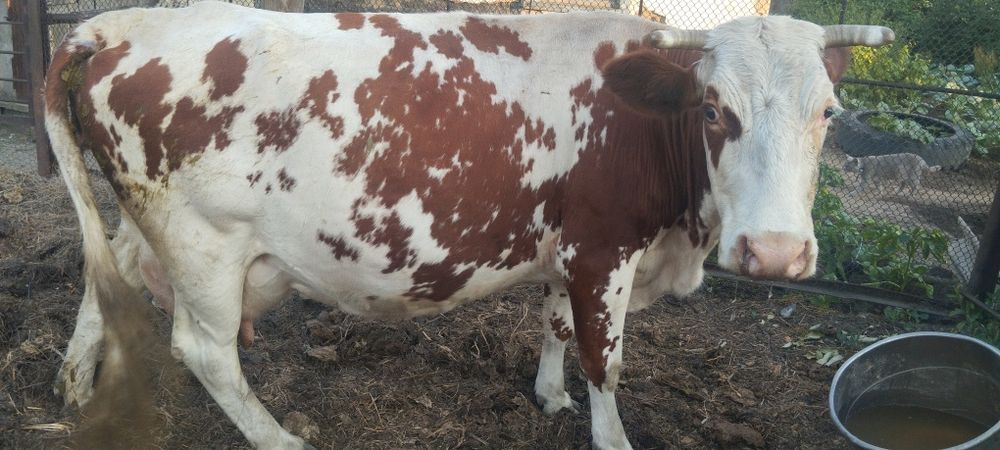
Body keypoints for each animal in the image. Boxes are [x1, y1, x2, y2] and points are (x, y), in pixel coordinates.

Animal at [45, 2, 893, 448]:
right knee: (205, 351)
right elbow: (605, 359)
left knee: (107, 268)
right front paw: (610, 435)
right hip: (205, 243)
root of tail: (121, 23)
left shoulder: (568, 248)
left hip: (151, 222)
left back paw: (78, 379)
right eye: (715, 110)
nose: (776, 253)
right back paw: (278, 436)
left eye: (830, 112)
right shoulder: (604, 248)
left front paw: (548, 395)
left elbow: (556, 328)